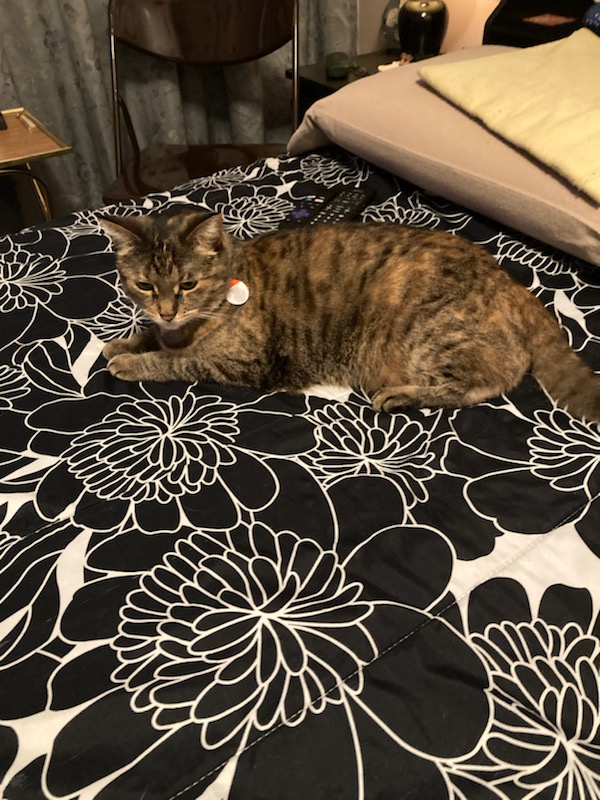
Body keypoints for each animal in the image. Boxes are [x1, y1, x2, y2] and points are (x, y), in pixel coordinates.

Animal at [99, 210, 600, 422]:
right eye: (145, 285)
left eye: (187, 285)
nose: (166, 309)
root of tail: (512, 283)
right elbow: (155, 338)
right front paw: (126, 341)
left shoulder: (243, 362)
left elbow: (177, 361)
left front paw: (131, 361)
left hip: (431, 333)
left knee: (484, 383)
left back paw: (401, 395)